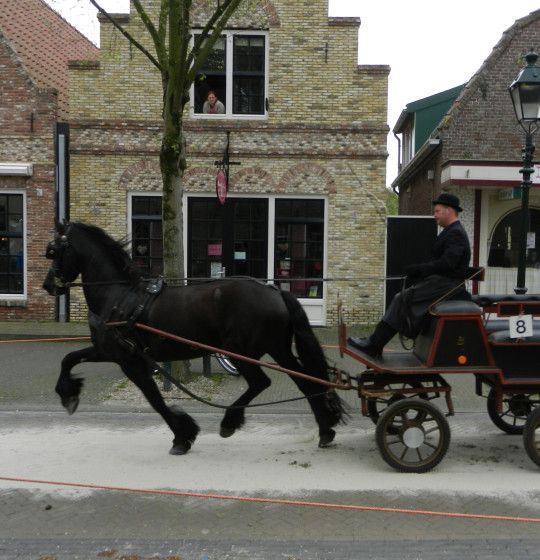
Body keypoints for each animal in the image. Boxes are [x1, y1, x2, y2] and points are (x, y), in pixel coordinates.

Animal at [44, 222, 344, 456]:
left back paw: (229, 422)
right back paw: (325, 430)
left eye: (54, 251)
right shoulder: (109, 352)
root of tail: (275, 291)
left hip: (240, 352)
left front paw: (182, 436)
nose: (48, 285)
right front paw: (68, 393)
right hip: (278, 349)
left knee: (261, 382)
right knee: (306, 381)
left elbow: (155, 400)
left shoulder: (130, 361)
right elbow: (68, 358)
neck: (118, 296)